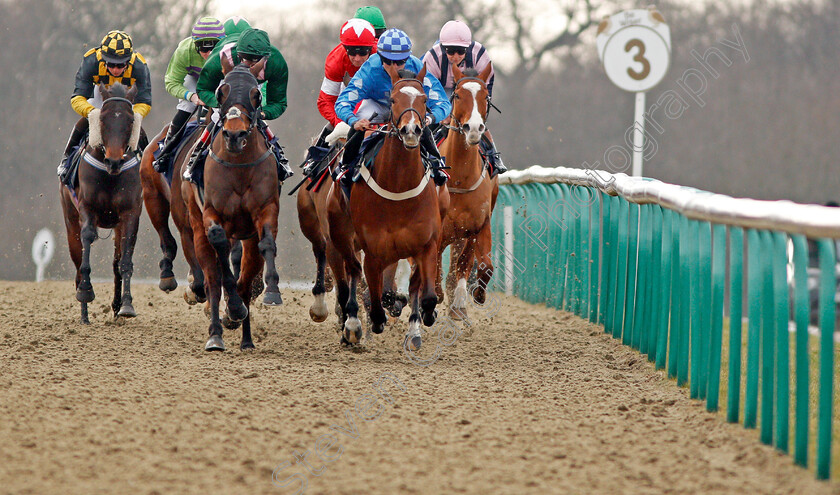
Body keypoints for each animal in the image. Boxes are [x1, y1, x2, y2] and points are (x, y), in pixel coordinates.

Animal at [58, 84, 144, 326]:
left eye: (130, 121)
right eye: (103, 119)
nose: (114, 161)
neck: (110, 175)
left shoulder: (130, 214)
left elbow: (124, 261)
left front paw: (126, 305)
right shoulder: (87, 208)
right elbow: (87, 242)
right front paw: (86, 292)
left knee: (116, 262)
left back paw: (115, 307)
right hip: (70, 219)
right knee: (78, 262)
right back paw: (84, 314)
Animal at [184, 59, 282, 352]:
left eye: (256, 94)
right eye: (220, 92)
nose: (235, 135)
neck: (239, 165)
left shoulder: (266, 210)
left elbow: (267, 243)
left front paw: (272, 291)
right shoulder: (212, 214)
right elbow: (220, 252)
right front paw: (233, 310)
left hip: (246, 239)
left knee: (246, 281)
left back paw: (246, 339)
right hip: (197, 228)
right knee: (213, 281)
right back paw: (216, 333)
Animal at [324, 68, 450, 350]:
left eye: (424, 99)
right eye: (392, 99)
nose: (412, 130)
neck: (399, 186)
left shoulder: (427, 244)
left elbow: (424, 295)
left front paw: (423, 320)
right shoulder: (373, 250)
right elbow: (373, 294)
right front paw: (373, 320)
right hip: (341, 234)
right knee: (352, 270)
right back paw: (352, 324)